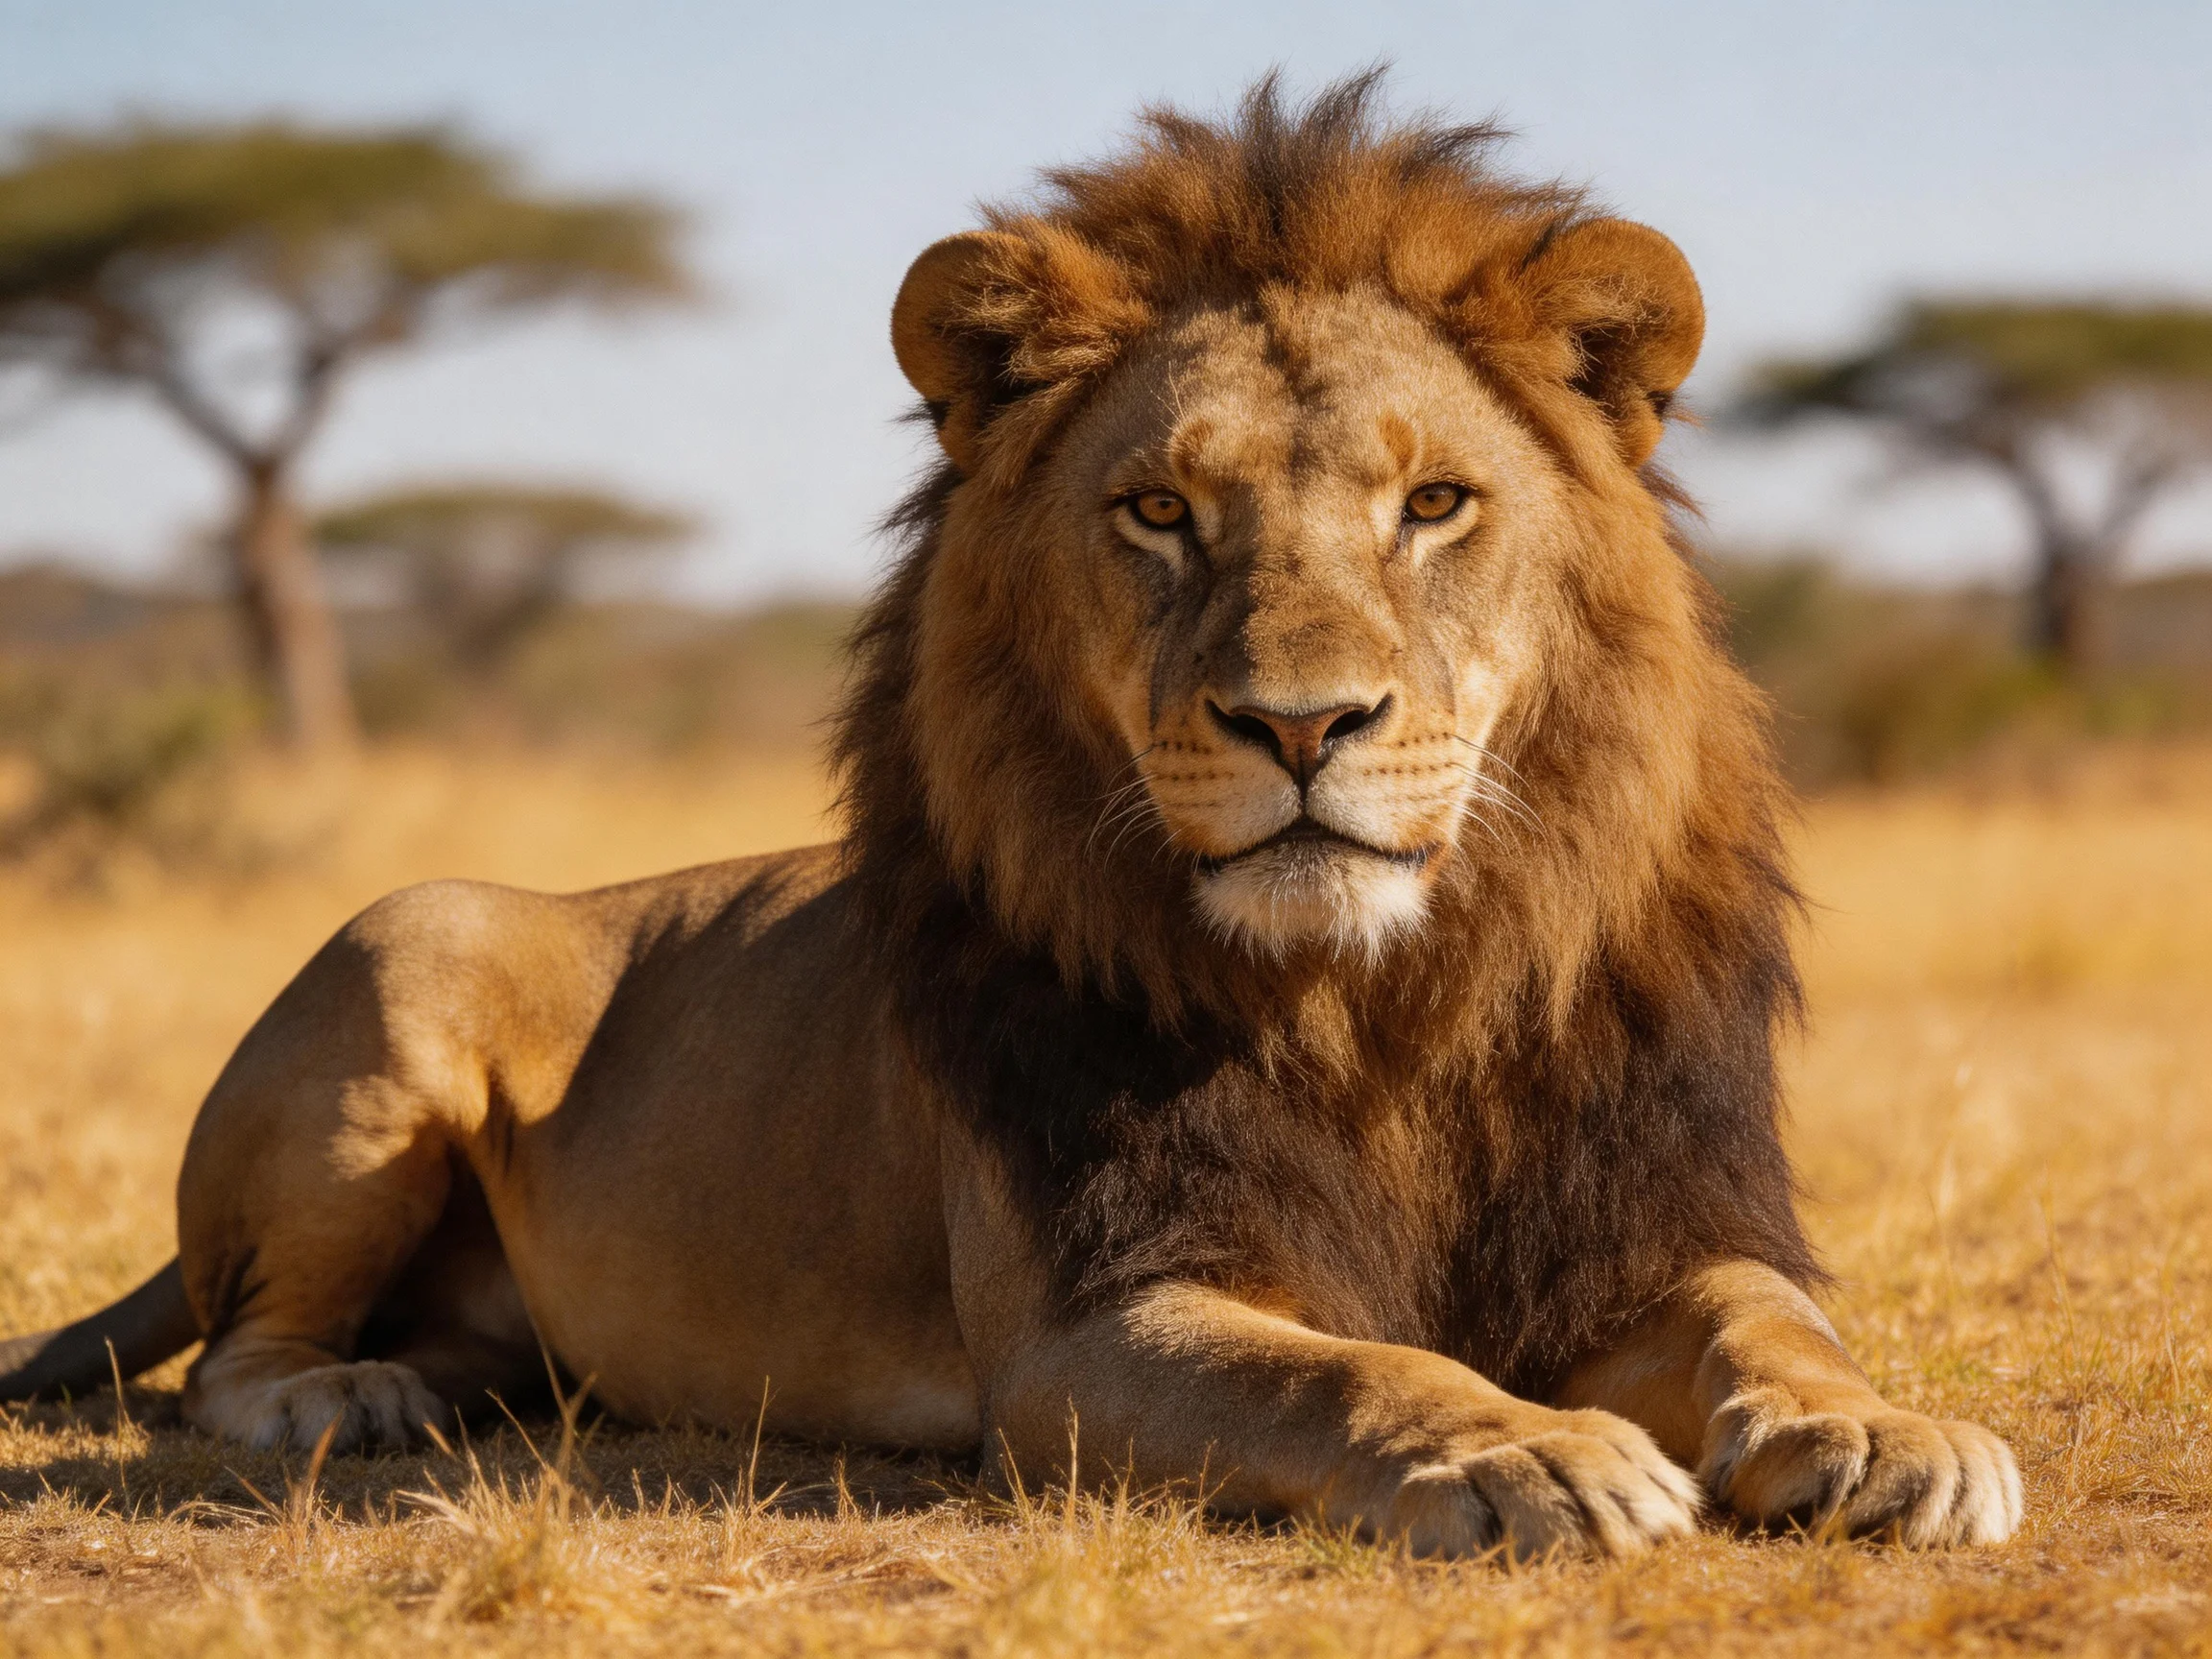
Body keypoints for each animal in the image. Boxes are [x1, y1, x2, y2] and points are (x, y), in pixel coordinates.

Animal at [2, 76, 2021, 1558]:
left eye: (1434, 504)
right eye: (1157, 512)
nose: (1301, 723)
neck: (1382, 1003)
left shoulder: (1657, 1223)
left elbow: (1773, 1323)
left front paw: (1887, 1430)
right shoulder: (1091, 1320)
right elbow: (1353, 1372)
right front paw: (1531, 1453)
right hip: (402, 943)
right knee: (227, 1356)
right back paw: (338, 1398)